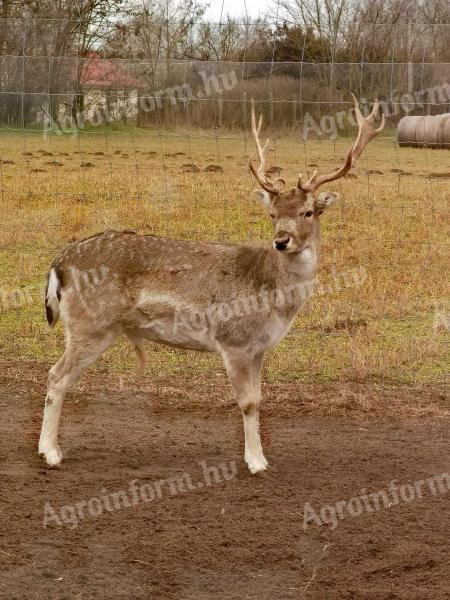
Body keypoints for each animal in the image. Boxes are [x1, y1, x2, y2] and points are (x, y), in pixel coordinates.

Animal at [37, 95, 384, 474]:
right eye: (273, 214)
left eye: (308, 211)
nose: (282, 241)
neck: (274, 298)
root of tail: (58, 265)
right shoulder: (233, 342)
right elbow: (247, 403)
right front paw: (256, 462)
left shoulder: (259, 348)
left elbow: (260, 399)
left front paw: (260, 457)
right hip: (91, 325)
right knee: (56, 375)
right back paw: (50, 452)